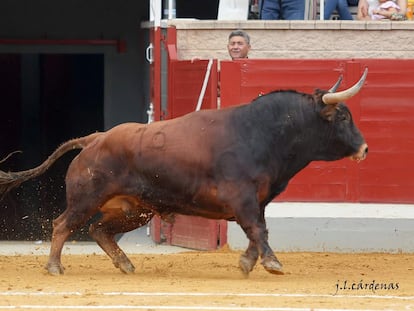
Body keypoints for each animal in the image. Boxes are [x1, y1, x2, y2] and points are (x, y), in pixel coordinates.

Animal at [0, 69, 368, 276]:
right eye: (343, 117)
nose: (364, 149)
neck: (263, 132)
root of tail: (95, 138)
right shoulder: (243, 198)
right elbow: (258, 230)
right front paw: (272, 263)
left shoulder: (258, 201)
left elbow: (257, 231)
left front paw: (249, 262)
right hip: (86, 198)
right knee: (62, 224)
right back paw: (54, 267)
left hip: (135, 209)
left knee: (99, 230)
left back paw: (125, 264)